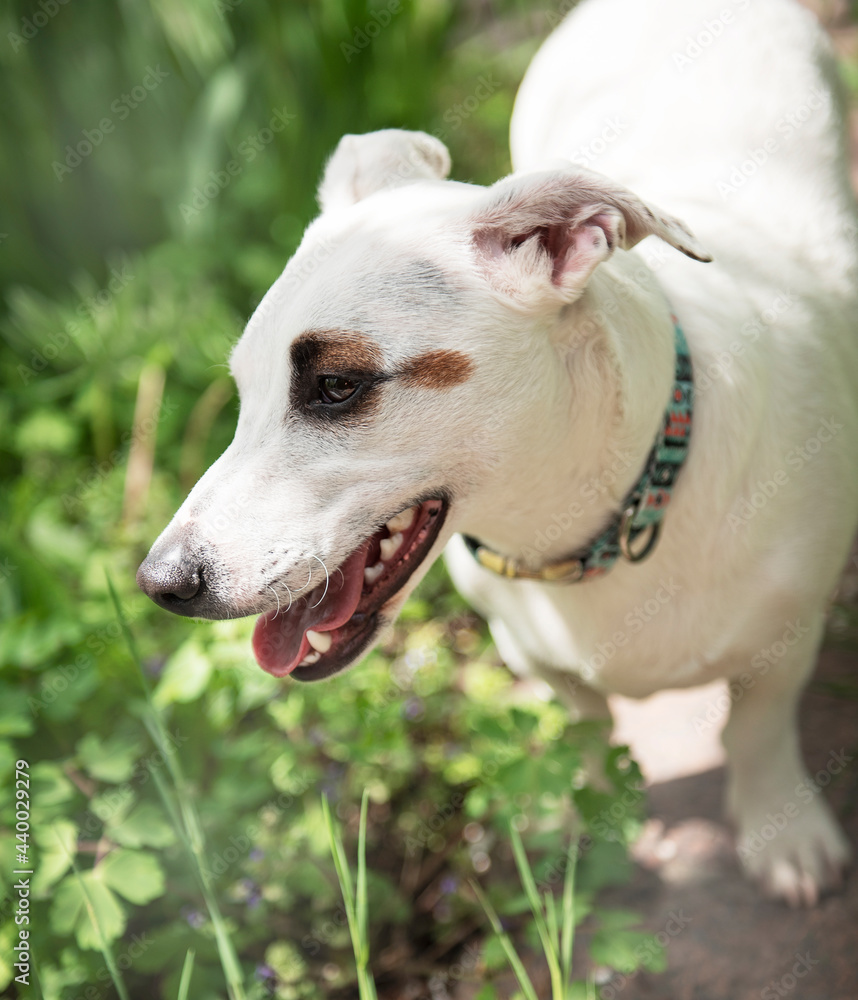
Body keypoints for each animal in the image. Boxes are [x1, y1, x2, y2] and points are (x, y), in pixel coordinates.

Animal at [137, 0, 852, 908]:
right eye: (242, 389)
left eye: (335, 385)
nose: (159, 583)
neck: (611, 517)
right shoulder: (531, 652)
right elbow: (585, 730)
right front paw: (582, 821)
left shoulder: (786, 635)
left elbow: (759, 728)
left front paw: (780, 831)